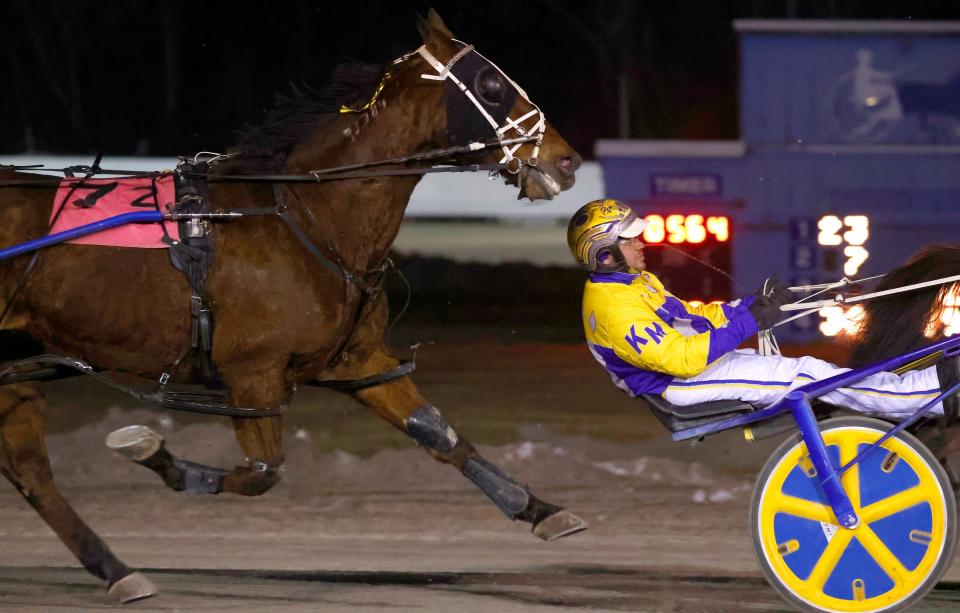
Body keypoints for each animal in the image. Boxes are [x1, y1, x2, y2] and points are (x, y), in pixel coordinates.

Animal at [0, 10, 584, 604]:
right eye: (491, 84)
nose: (566, 161)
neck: (309, 214)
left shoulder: (356, 360)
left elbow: (436, 433)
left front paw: (539, 508)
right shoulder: (251, 372)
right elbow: (262, 471)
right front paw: (153, 454)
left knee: (29, 469)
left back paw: (117, 570)